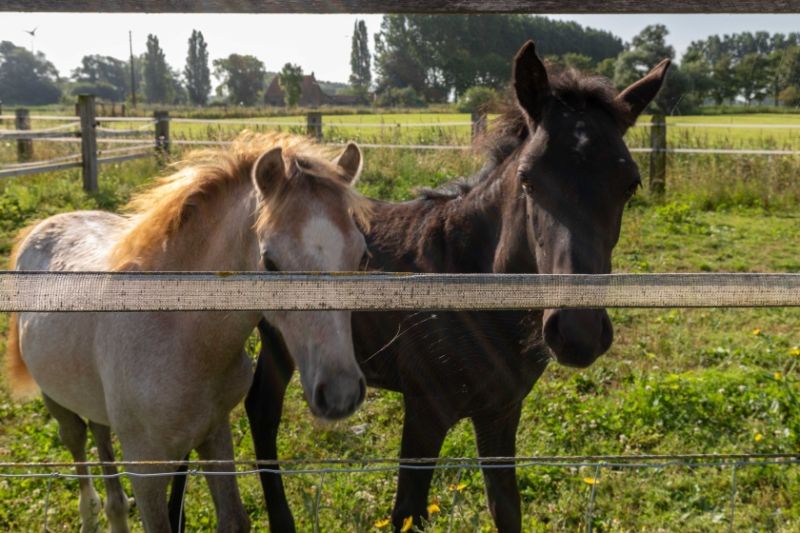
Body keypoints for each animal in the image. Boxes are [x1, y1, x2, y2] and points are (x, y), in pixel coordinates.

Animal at [6, 131, 370, 528]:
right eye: (270, 262)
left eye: (362, 257)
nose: (339, 394)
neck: (184, 339)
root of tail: (43, 226)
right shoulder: (145, 468)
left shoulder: (215, 434)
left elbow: (234, 519)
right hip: (56, 402)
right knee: (79, 454)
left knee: (105, 459)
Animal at [170, 40, 668, 532]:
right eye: (528, 179)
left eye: (630, 184)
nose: (578, 333)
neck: (467, 278)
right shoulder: (425, 412)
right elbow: (407, 512)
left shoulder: (501, 412)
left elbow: (506, 507)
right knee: (247, 415)